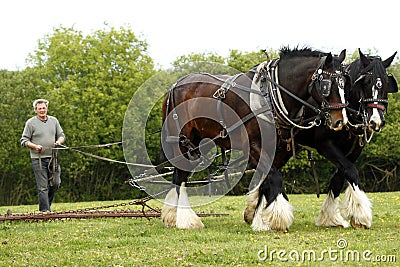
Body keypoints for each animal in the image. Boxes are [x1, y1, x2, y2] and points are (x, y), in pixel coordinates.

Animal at [161, 47, 348, 230]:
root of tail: (173, 87)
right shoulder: (253, 146)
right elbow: (274, 177)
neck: (269, 95)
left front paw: (258, 217)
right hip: (183, 141)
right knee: (181, 176)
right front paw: (277, 218)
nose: (340, 120)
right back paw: (186, 220)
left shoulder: (275, 149)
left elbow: (266, 180)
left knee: (179, 174)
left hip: (199, 142)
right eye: (326, 84)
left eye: (345, 82)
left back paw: (173, 216)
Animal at [245, 49, 396, 231]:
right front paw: (361, 215)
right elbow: (351, 171)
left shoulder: (354, 151)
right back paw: (261, 218)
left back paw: (257, 212)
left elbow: (340, 177)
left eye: (386, 83)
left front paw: (331, 217)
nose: (376, 121)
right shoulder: (325, 145)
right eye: (365, 82)